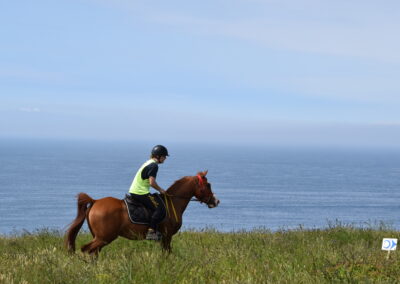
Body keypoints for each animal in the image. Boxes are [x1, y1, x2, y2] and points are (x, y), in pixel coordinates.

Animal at [65, 171, 219, 255]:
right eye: (208, 185)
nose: (216, 201)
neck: (173, 202)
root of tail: (95, 201)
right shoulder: (167, 235)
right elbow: (168, 253)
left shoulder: (164, 238)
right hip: (104, 237)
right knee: (87, 249)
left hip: (100, 237)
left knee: (93, 252)